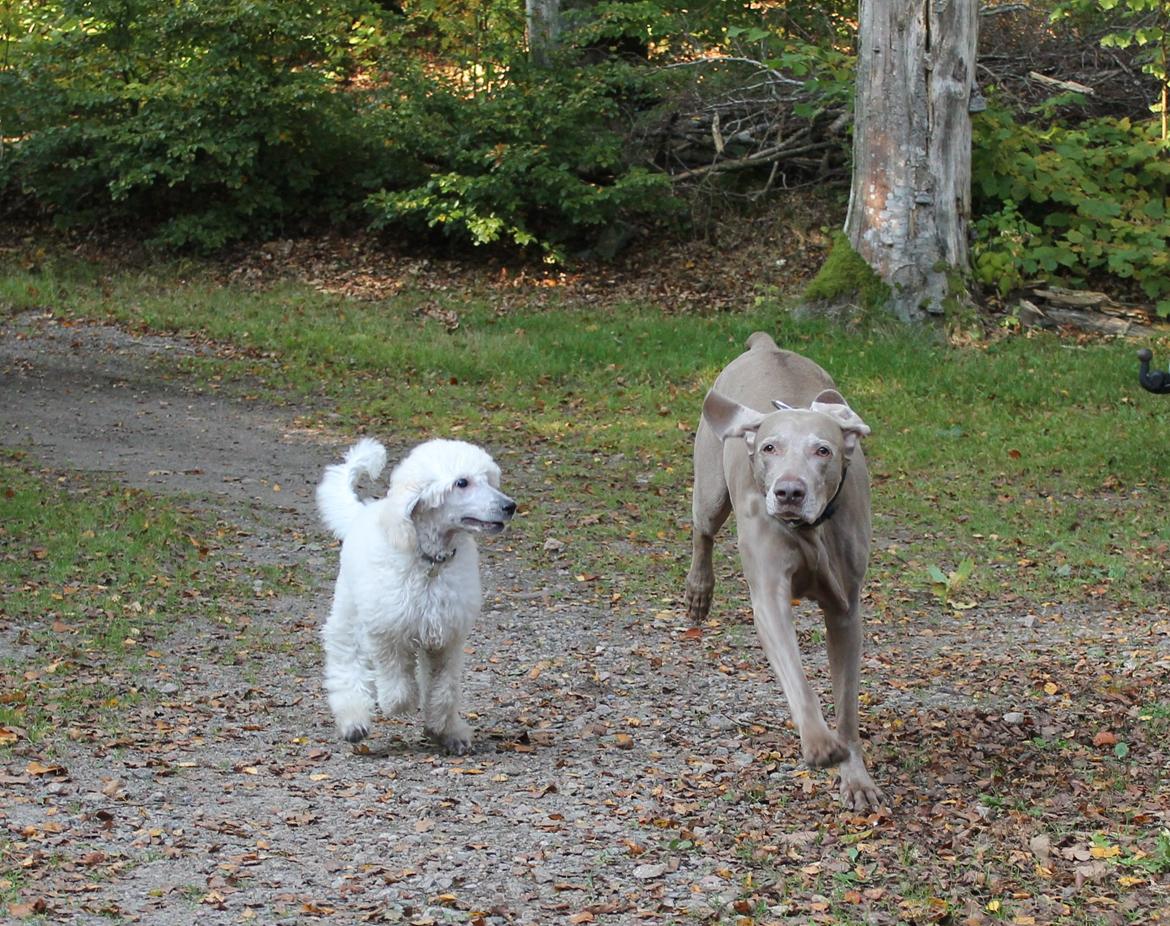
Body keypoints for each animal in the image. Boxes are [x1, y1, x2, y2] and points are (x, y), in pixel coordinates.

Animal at [683, 332, 879, 810]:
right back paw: (699, 592)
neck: (809, 531)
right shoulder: (769, 594)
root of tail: (765, 346)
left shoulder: (845, 610)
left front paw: (855, 778)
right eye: (770, 448)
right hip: (711, 489)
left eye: (823, 450)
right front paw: (819, 743)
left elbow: (847, 703)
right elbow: (795, 675)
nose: (789, 492)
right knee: (702, 529)